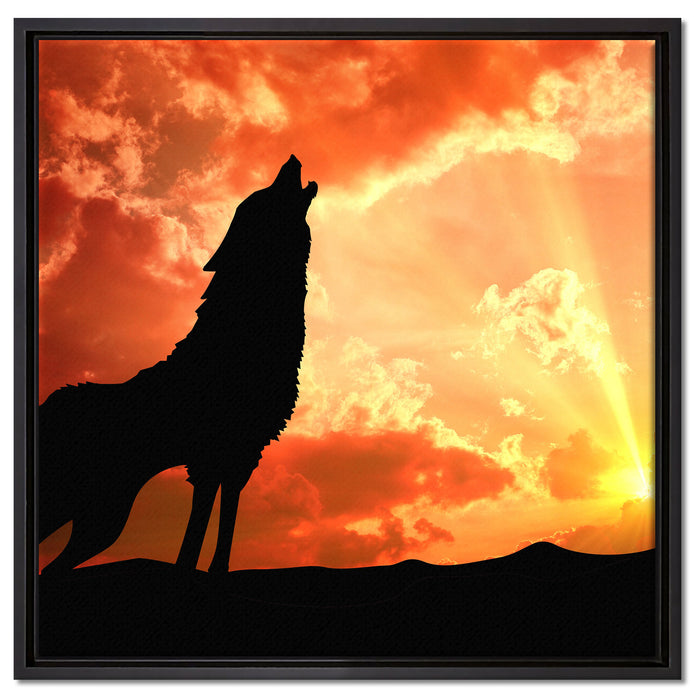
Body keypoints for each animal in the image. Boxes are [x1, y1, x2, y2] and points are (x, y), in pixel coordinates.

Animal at [39, 155, 317, 574]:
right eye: (263, 195)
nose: (292, 158)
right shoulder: (210, 456)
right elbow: (198, 528)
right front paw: (190, 570)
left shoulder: (242, 454)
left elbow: (223, 519)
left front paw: (215, 572)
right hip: (87, 510)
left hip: (100, 518)